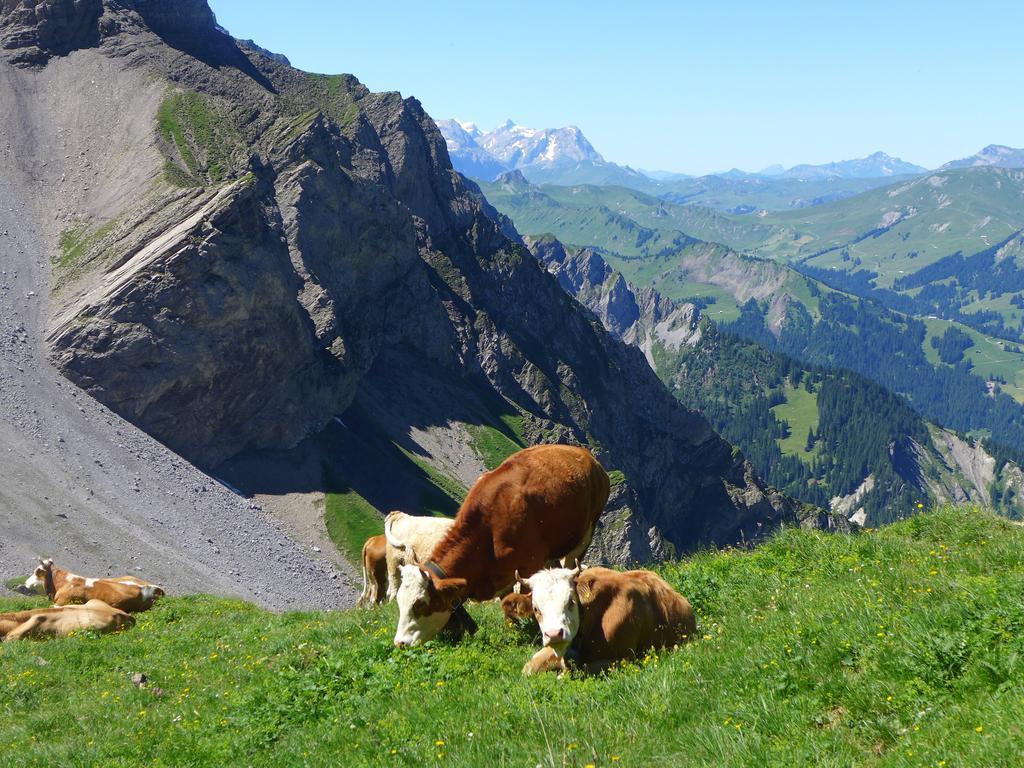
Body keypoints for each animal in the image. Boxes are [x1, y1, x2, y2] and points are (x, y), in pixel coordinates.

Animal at [391, 444, 606, 651]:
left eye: (420, 604)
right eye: (399, 601)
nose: (400, 643)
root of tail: (585, 454)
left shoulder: (531, 563)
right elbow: (507, 604)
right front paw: (513, 632)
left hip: (585, 535)